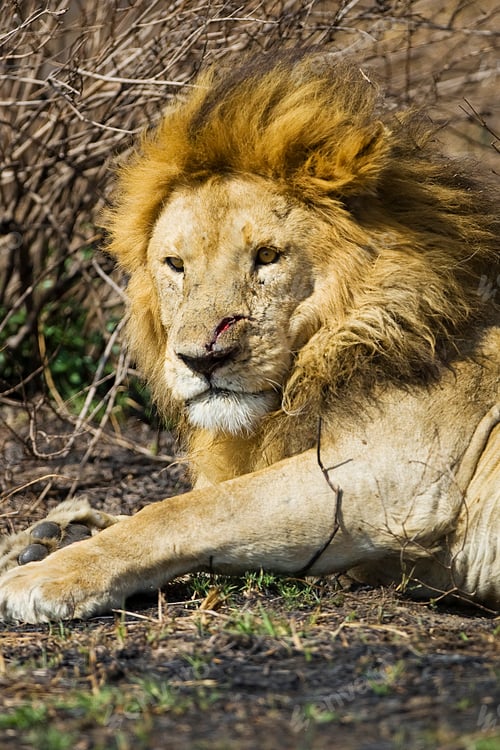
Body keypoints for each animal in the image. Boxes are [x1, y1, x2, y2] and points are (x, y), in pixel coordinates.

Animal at [0, 53, 498, 622]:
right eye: (175, 265)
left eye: (267, 256)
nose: (202, 360)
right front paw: (53, 536)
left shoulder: (398, 475)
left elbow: (189, 509)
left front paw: (51, 571)